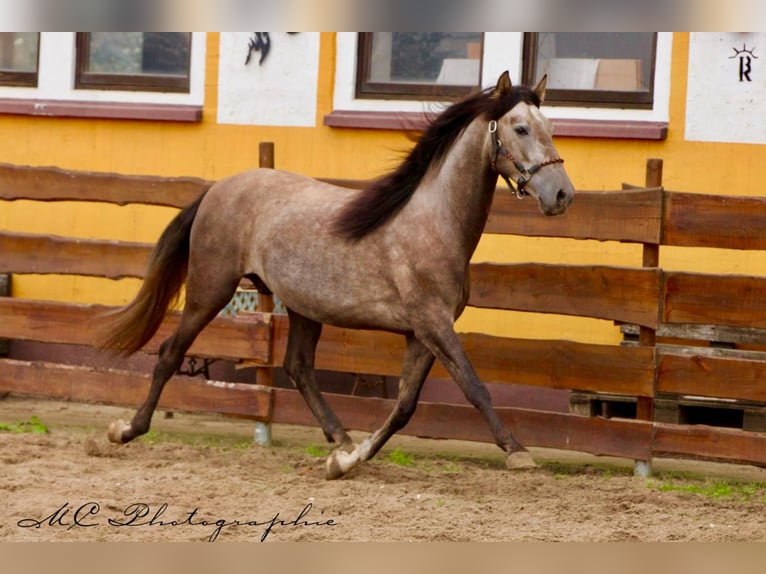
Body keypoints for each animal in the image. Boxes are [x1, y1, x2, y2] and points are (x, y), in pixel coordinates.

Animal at [100, 71, 575, 479]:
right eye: (520, 128)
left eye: (549, 125)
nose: (562, 194)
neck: (433, 222)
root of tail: (217, 189)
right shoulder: (432, 325)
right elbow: (474, 387)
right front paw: (518, 452)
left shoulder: (421, 334)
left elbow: (404, 406)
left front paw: (346, 461)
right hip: (209, 290)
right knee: (170, 352)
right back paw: (125, 430)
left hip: (302, 307)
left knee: (297, 367)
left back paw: (341, 439)